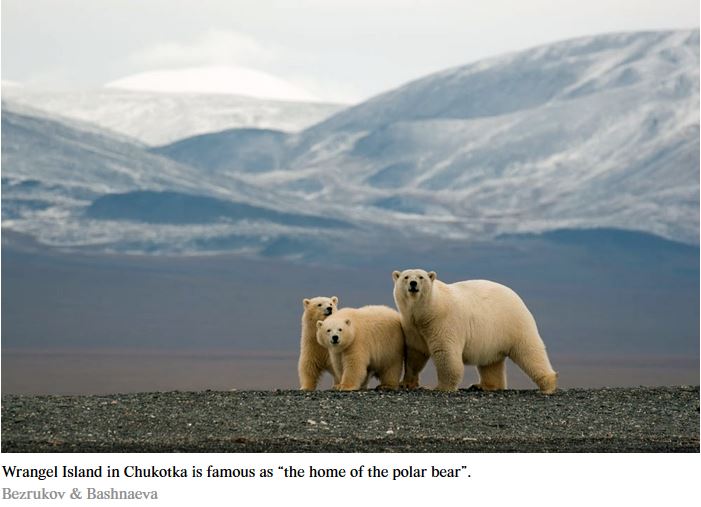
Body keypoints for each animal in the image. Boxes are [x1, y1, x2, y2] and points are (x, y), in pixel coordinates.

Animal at [392, 269, 557, 394]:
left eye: (421, 277)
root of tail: (517, 297)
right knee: (491, 363)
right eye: (406, 277)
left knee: (530, 352)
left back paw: (548, 385)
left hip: (514, 323)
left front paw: (441, 387)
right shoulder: (412, 326)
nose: (413, 284)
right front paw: (406, 383)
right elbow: (415, 353)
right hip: (493, 337)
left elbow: (446, 352)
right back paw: (482, 385)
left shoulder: (443, 322)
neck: (428, 311)